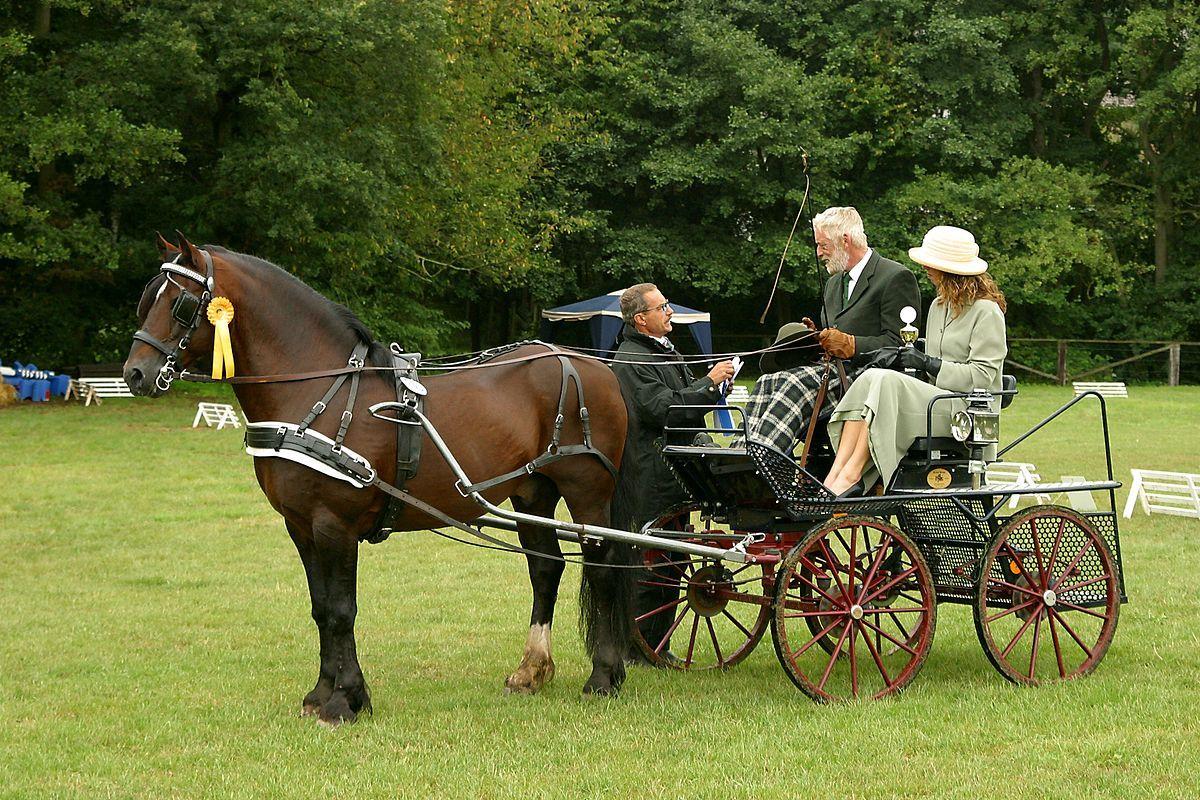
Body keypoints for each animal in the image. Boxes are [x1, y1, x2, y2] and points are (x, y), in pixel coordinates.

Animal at [123, 232, 638, 724]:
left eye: (180, 303)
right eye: (147, 298)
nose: (135, 374)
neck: (320, 390)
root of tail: (589, 363)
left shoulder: (334, 523)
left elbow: (341, 610)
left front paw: (345, 701)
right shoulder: (300, 526)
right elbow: (320, 610)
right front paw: (320, 695)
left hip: (587, 491)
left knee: (603, 567)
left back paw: (604, 676)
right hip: (533, 493)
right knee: (545, 568)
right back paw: (531, 670)